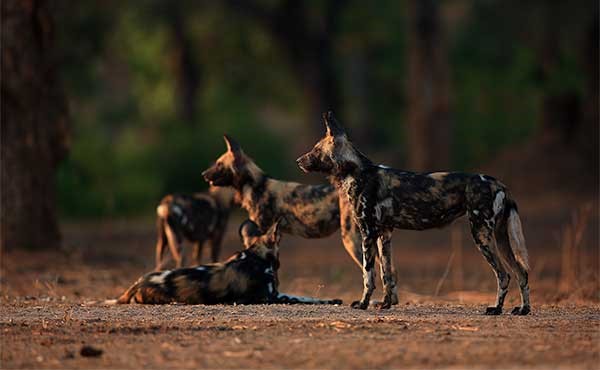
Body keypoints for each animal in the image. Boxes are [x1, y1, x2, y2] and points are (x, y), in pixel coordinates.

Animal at [200, 133, 398, 304]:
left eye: (219, 165)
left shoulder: (263, 232)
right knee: (389, 270)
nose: (203, 174)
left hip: (352, 240)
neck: (256, 186)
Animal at [296, 110, 528, 316]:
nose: (298, 161)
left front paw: (363, 304)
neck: (356, 172)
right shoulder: (384, 234)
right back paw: (523, 309)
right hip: (500, 238)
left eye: (315, 150)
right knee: (521, 272)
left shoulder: (367, 234)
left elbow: (368, 276)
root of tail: (498, 183)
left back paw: (496, 309)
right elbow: (387, 274)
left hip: (481, 235)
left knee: (504, 275)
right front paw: (385, 304)